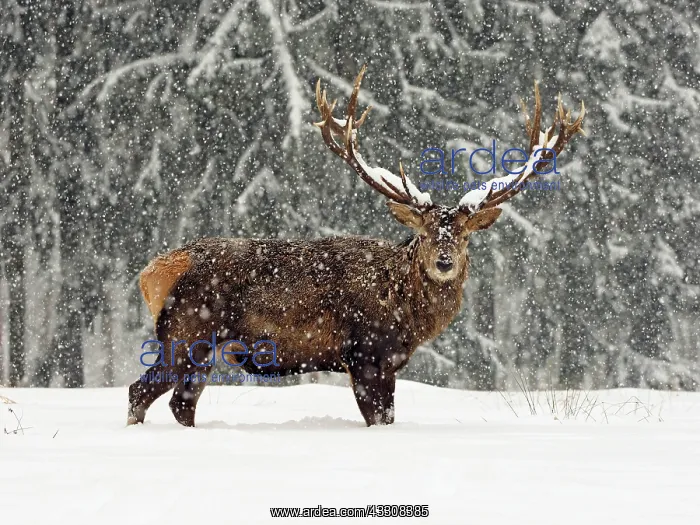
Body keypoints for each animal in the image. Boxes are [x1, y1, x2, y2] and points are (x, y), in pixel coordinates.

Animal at [127, 66, 585, 428]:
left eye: (465, 234)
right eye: (423, 233)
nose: (444, 262)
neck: (405, 312)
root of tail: (152, 271)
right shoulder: (366, 353)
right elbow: (379, 418)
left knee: (175, 401)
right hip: (187, 332)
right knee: (144, 393)